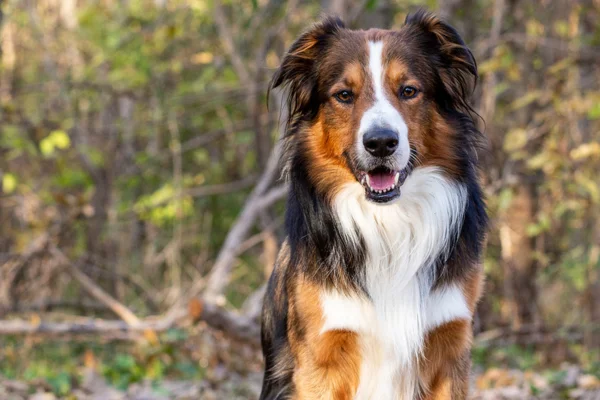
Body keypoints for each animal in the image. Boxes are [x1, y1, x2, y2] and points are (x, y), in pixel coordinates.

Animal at [258, 10, 488, 400]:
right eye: (344, 95)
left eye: (408, 91)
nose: (381, 142)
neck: (388, 222)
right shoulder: (320, 361)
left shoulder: (449, 348)